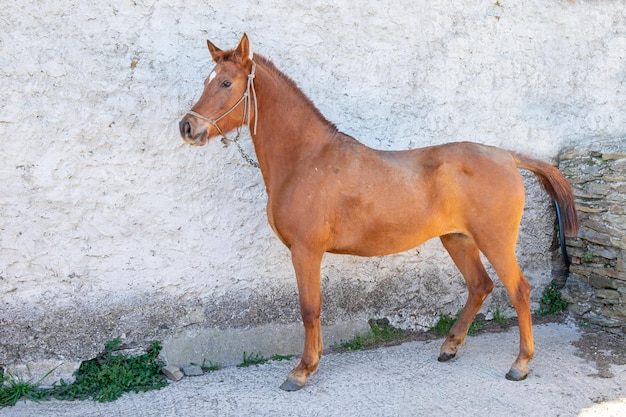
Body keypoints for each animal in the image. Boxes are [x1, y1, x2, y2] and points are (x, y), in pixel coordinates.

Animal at [178, 33, 576, 390]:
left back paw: (520, 363)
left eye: (226, 82)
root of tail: (508, 156)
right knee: (480, 286)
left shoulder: (306, 251)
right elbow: (313, 309)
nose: (187, 127)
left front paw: (302, 371)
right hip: (457, 239)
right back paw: (450, 347)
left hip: (494, 240)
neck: (306, 159)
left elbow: (309, 309)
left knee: (519, 290)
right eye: (206, 81)